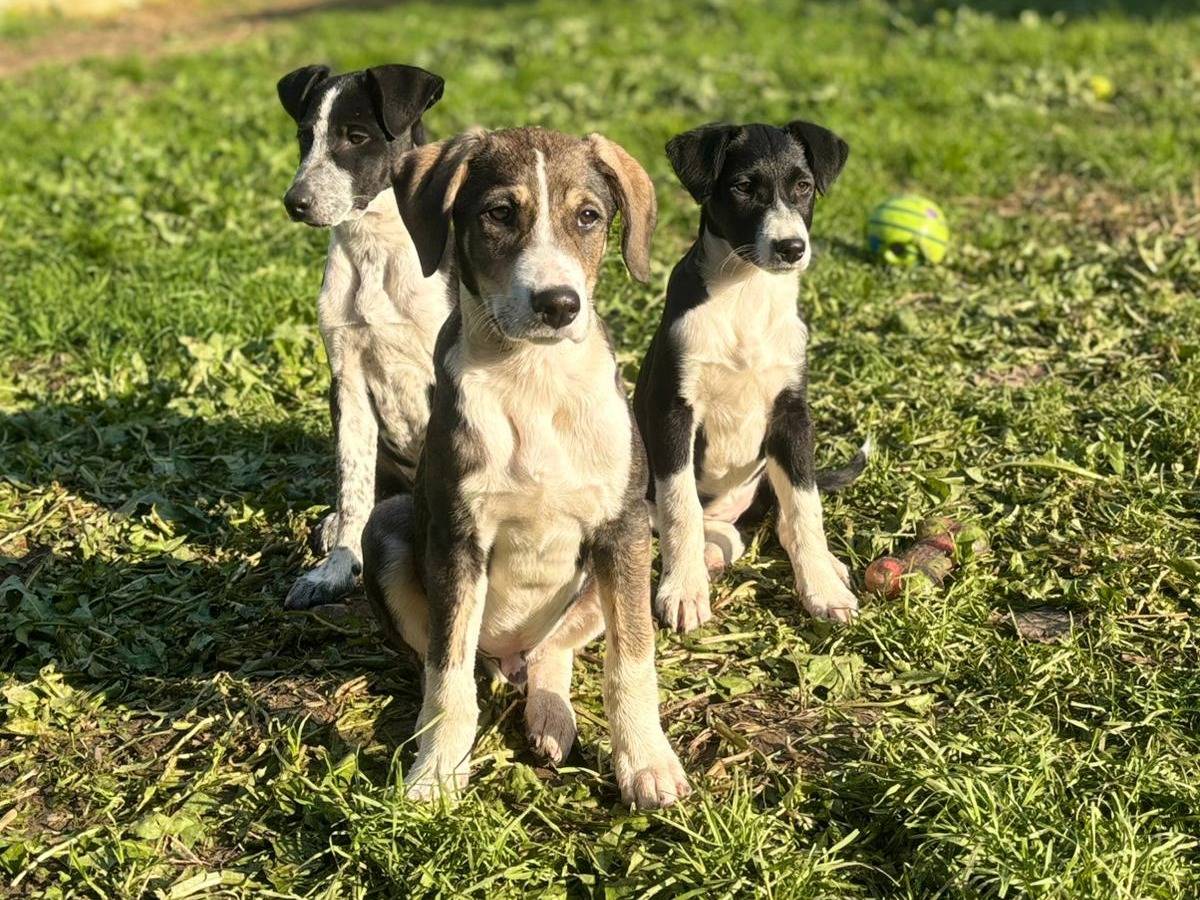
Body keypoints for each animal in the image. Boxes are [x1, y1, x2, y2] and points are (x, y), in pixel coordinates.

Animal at [276, 63, 453, 614]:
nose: (295, 203)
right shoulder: (348, 382)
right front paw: (336, 570)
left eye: (356, 137)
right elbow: (352, 487)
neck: (375, 249)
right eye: (304, 137)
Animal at [360, 125, 691, 811]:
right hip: (386, 528)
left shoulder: (622, 530)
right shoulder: (457, 540)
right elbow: (447, 674)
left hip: (607, 572)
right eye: (499, 214)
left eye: (588, 217)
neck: (533, 379)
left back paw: (550, 716)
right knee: (457, 663)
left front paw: (647, 763)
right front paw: (437, 772)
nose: (558, 304)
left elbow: (632, 661)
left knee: (551, 654)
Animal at [633, 121, 868, 633]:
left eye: (803, 186)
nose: (791, 248)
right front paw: (684, 591)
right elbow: (680, 506)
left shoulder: (791, 415)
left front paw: (821, 588)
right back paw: (709, 551)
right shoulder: (671, 412)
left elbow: (805, 507)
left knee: (782, 510)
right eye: (743, 187)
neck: (747, 294)